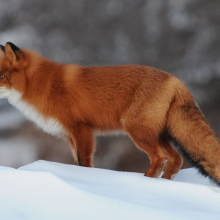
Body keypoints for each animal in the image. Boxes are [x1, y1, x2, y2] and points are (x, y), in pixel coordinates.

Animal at [0, 42, 220, 185]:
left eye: (1, 75)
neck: (43, 85)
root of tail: (176, 80)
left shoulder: (81, 129)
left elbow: (84, 163)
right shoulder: (70, 137)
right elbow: (76, 163)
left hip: (137, 130)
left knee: (160, 158)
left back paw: (146, 183)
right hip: (159, 134)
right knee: (176, 159)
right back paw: (165, 185)